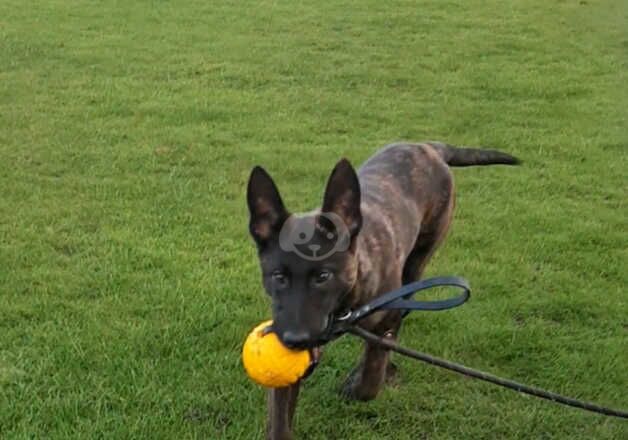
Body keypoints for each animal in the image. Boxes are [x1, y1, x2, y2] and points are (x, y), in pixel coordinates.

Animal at [247, 143, 520, 438]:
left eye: (323, 276)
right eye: (278, 277)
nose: (295, 340)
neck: (345, 309)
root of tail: (429, 146)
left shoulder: (386, 321)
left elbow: (370, 382)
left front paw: (358, 383)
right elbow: (279, 421)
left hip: (416, 269)